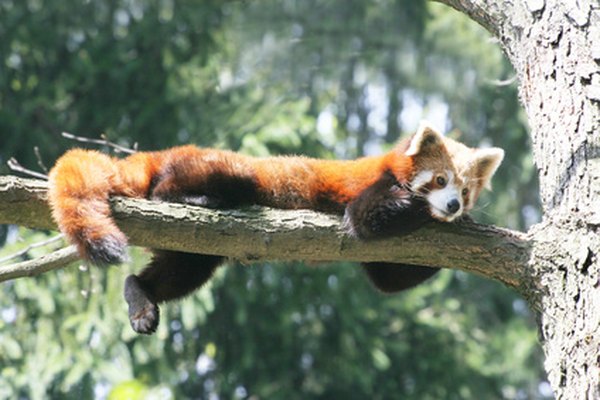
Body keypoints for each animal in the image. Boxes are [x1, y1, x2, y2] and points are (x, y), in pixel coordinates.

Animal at [49, 122, 504, 334]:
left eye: (465, 188)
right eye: (440, 180)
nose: (453, 204)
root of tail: (162, 153)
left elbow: (386, 281)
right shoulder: (371, 188)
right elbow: (363, 219)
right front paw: (425, 210)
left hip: (192, 248)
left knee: (181, 271)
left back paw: (139, 296)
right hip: (218, 168)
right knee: (186, 187)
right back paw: (193, 199)